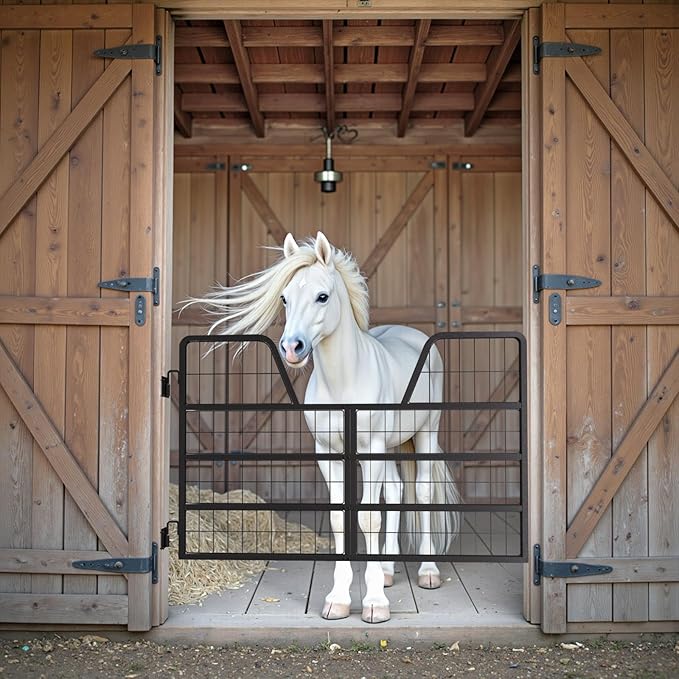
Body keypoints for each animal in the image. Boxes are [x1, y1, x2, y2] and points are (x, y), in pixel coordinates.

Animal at [192, 231, 460, 623]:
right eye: (285, 297)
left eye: (323, 296)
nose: (292, 348)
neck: (344, 380)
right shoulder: (329, 454)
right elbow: (338, 519)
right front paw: (339, 599)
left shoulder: (371, 449)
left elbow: (368, 519)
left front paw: (375, 603)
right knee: (396, 492)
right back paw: (389, 570)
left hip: (425, 435)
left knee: (423, 493)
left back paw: (428, 572)